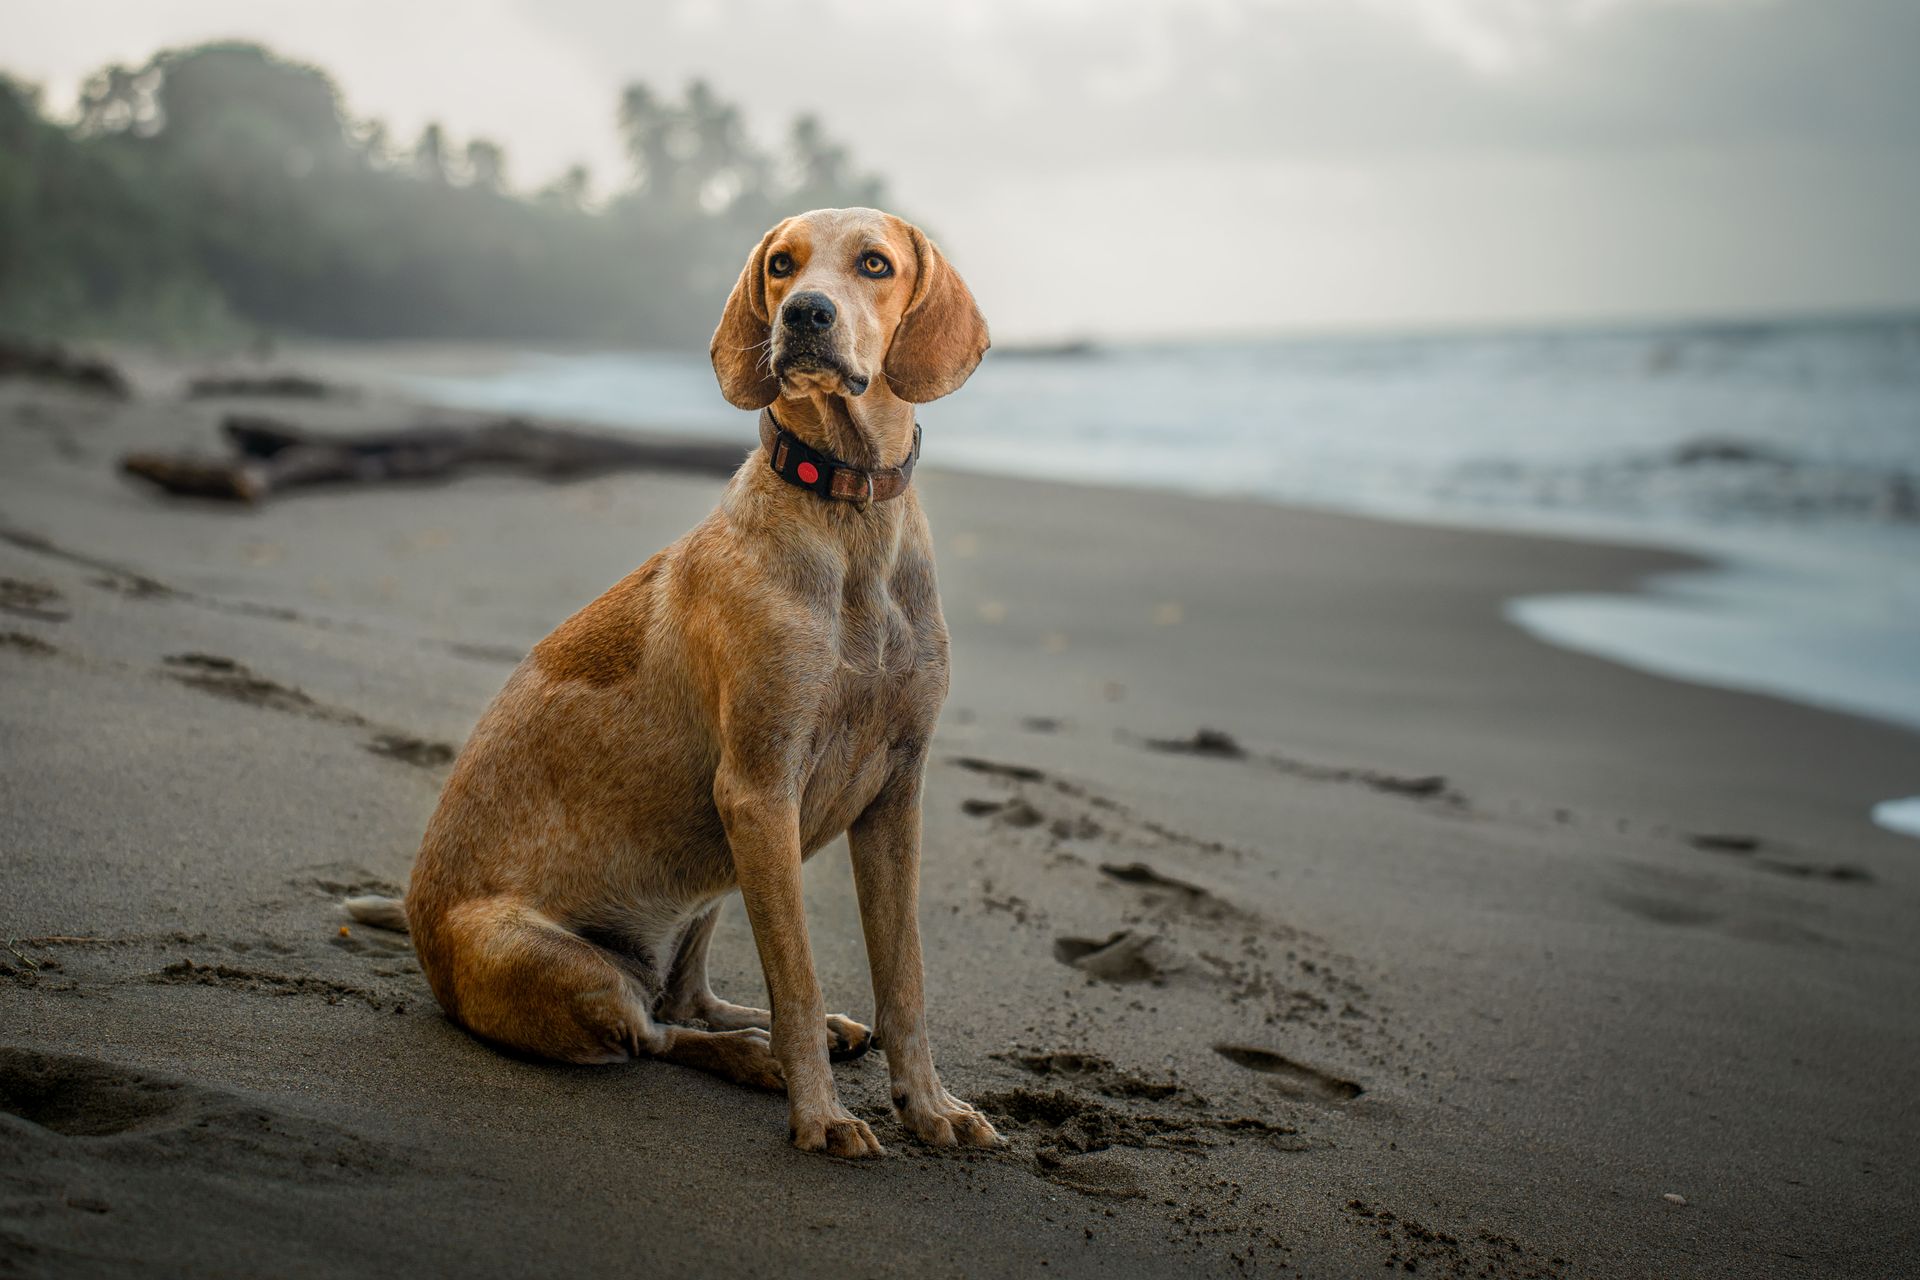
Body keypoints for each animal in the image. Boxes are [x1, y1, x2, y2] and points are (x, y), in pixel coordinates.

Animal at [345, 205, 998, 1159]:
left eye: (874, 264)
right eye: (781, 264)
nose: (803, 314)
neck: (847, 516)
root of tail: (422, 932)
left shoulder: (895, 796)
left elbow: (903, 978)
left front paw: (929, 1104)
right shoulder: (760, 790)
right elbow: (797, 976)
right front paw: (820, 1116)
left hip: (710, 883)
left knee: (686, 998)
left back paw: (782, 1035)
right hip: (560, 958)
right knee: (654, 1033)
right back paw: (761, 1061)